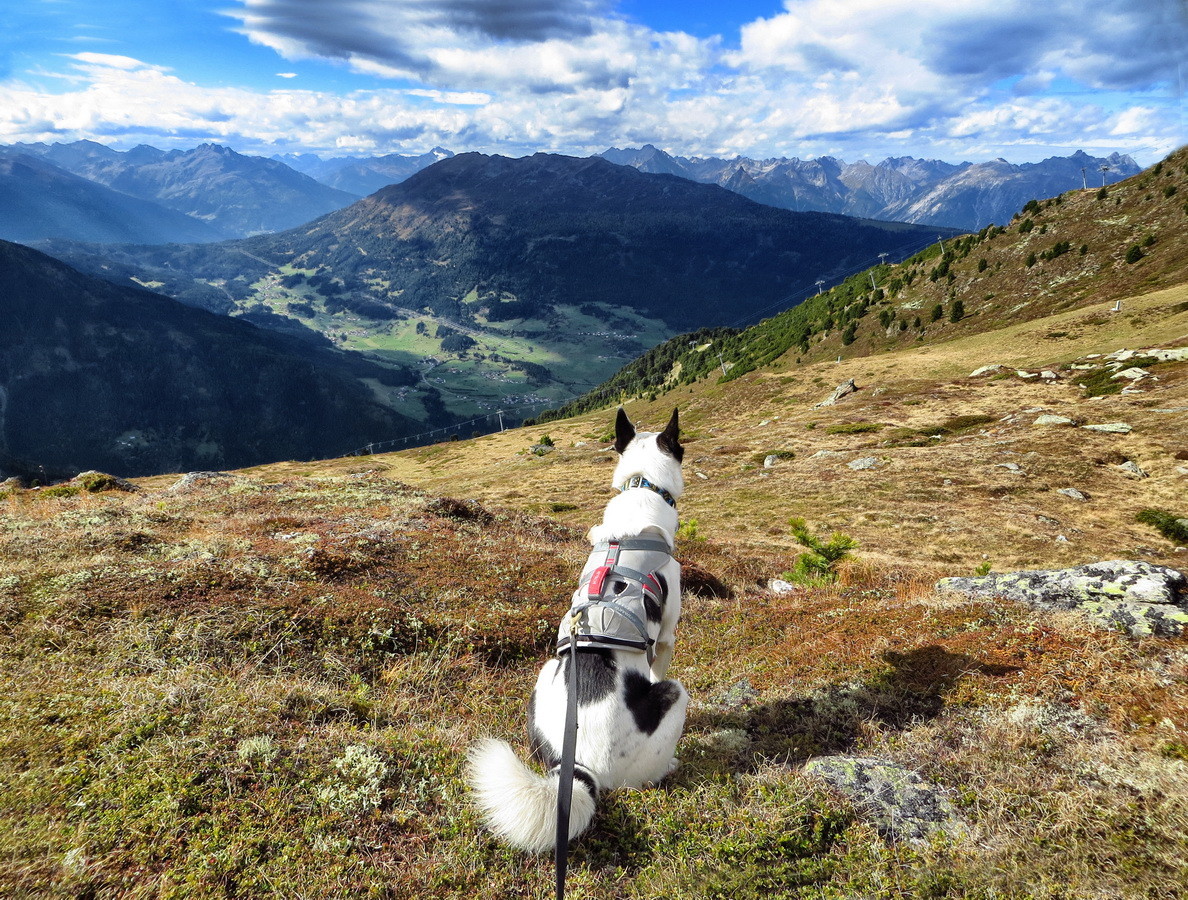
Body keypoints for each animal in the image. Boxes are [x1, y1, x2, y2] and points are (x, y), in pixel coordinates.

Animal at [463, 408, 689, 854]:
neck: (643, 485)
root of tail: (579, 768)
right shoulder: (667, 636)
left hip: (544, 674)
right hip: (675, 697)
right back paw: (670, 764)